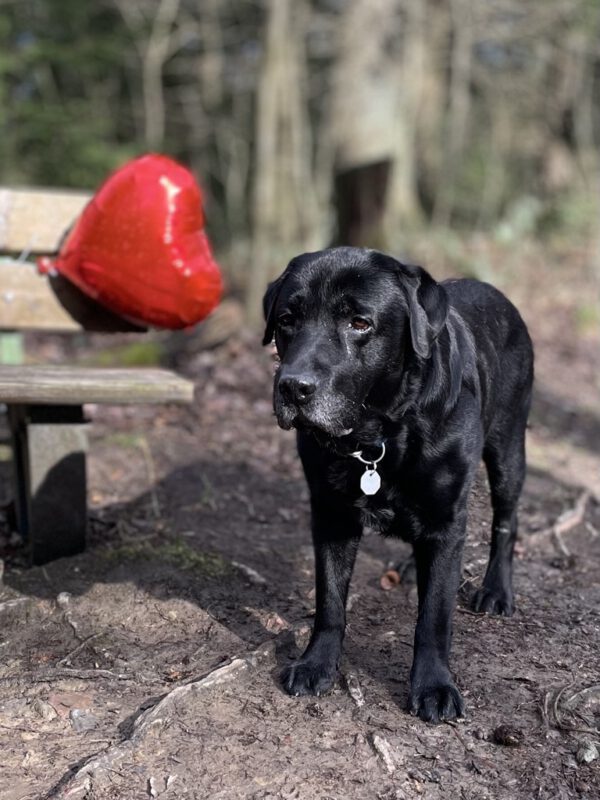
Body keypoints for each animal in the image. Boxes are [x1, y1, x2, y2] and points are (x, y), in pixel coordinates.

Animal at [262, 247, 536, 720]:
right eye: (286, 320)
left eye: (359, 323)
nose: (293, 387)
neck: (379, 436)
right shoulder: (330, 515)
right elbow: (329, 600)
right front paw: (316, 664)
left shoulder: (447, 520)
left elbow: (434, 617)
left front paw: (434, 687)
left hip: (508, 449)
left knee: (507, 519)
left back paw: (496, 590)